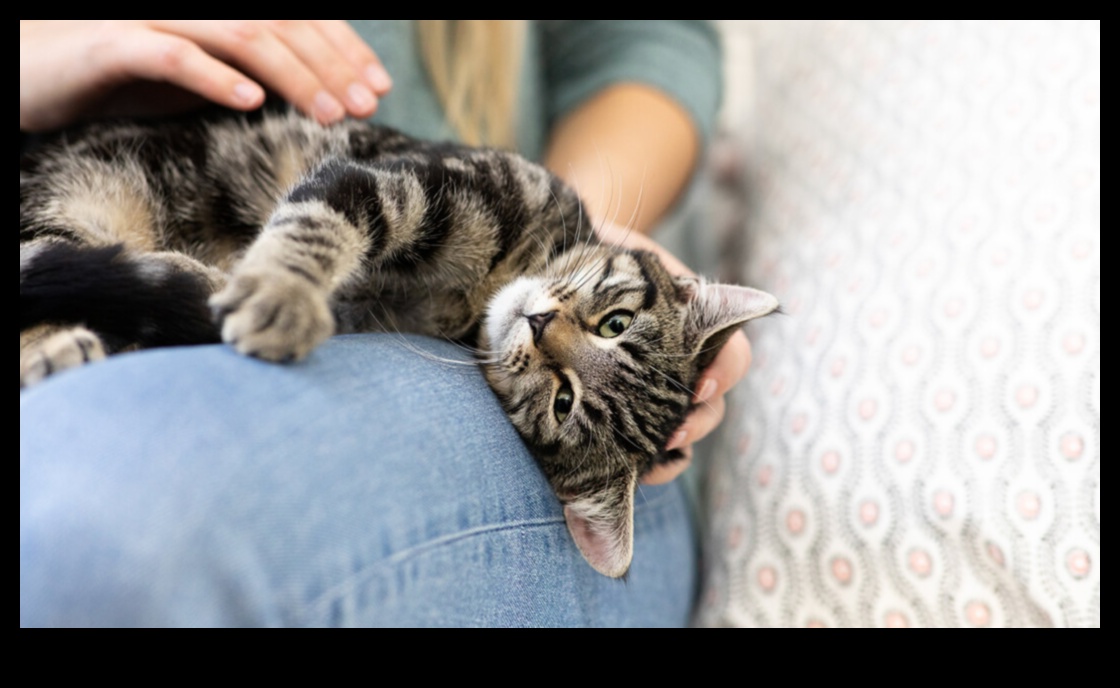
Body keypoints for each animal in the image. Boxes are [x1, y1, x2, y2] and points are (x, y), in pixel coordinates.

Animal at [21, 107, 784, 578]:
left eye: (564, 403)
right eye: (615, 323)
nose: (540, 326)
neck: (485, 288)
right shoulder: (399, 180)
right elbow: (318, 221)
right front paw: (280, 292)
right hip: (81, 191)